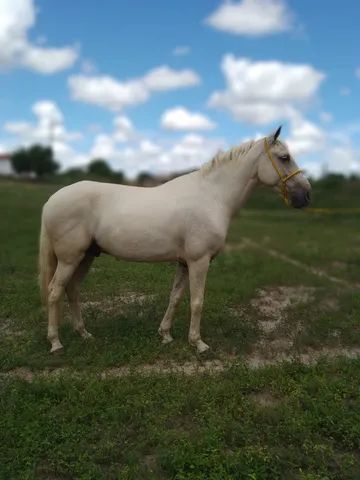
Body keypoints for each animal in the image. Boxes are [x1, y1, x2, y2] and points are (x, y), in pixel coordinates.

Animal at [38, 125, 310, 354]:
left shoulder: (184, 262)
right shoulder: (199, 261)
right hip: (70, 259)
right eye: (284, 157)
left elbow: (176, 297)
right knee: (54, 292)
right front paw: (198, 343)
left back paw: (84, 334)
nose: (306, 195)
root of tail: (52, 200)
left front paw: (166, 335)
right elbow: (197, 301)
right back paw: (55, 343)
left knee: (72, 290)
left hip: (86, 256)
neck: (213, 196)